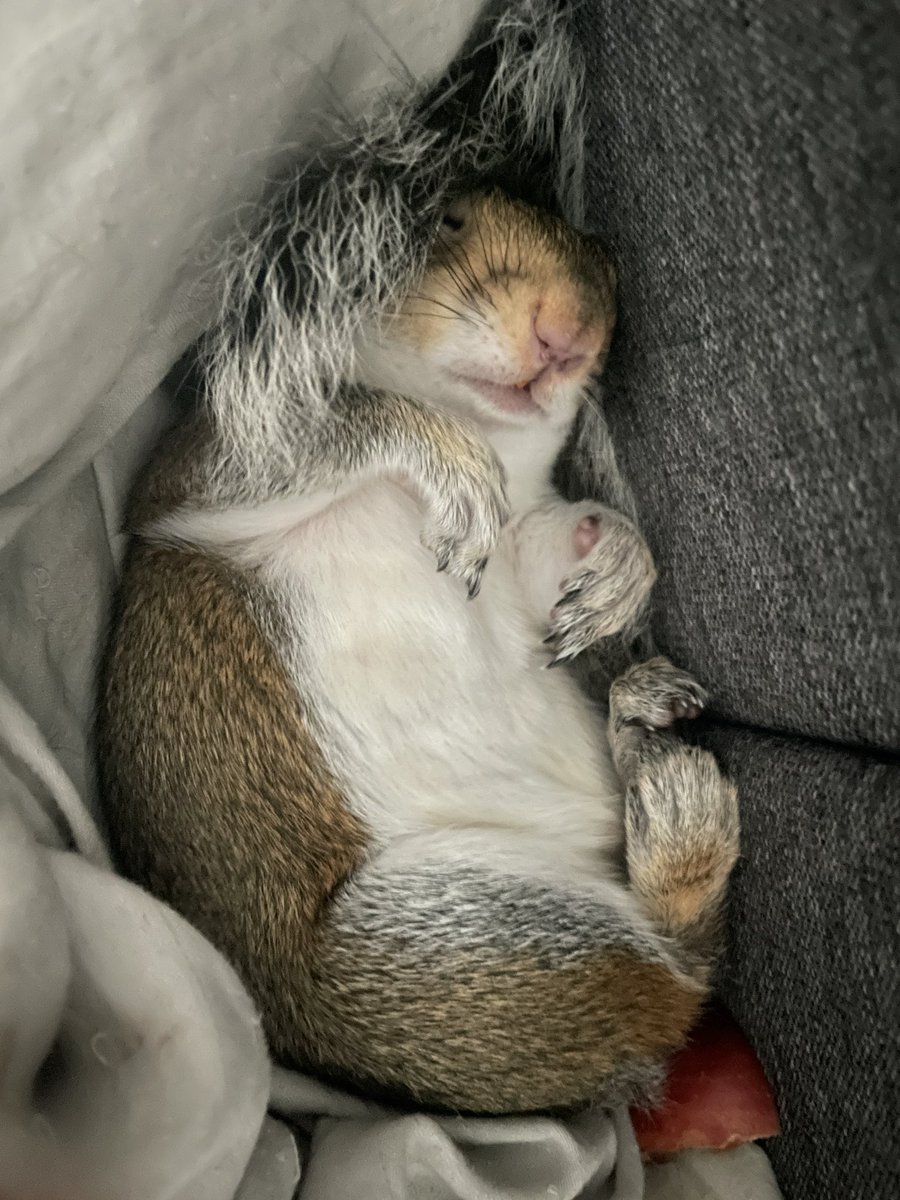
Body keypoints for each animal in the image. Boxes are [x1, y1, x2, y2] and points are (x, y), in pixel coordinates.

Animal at [97, 187, 740, 1114]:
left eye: (609, 268)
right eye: (446, 221)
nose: (569, 333)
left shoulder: (514, 564)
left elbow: (554, 555)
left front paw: (620, 564)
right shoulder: (201, 470)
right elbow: (335, 431)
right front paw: (443, 451)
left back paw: (641, 729)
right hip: (440, 953)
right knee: (676, 977)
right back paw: (682, 819)